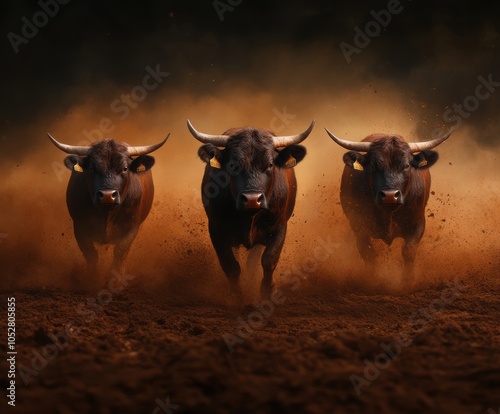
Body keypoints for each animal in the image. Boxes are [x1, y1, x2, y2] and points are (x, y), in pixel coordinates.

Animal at [49, 134, 169, 276]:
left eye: (125, 168)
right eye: (91, 168)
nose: (107, 195)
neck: (106, 215)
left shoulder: (131, 228)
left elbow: (120, 253)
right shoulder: (79, 227)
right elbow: (91, 254)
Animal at [188, 119, 312, 298]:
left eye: (270, 164)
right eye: (232, 165)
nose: (252, 200)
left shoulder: (280, 227)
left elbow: (269, 259)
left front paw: (267, 290)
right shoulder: (216, 229)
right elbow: (231, 265)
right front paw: (236, 296)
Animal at [326, 128, 456, 280]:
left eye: (406, 165)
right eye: (373, 166)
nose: (390, 195)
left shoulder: (419, 224)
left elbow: (408, 251)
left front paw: (408, 280)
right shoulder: (358, 225)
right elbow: (368, 253)